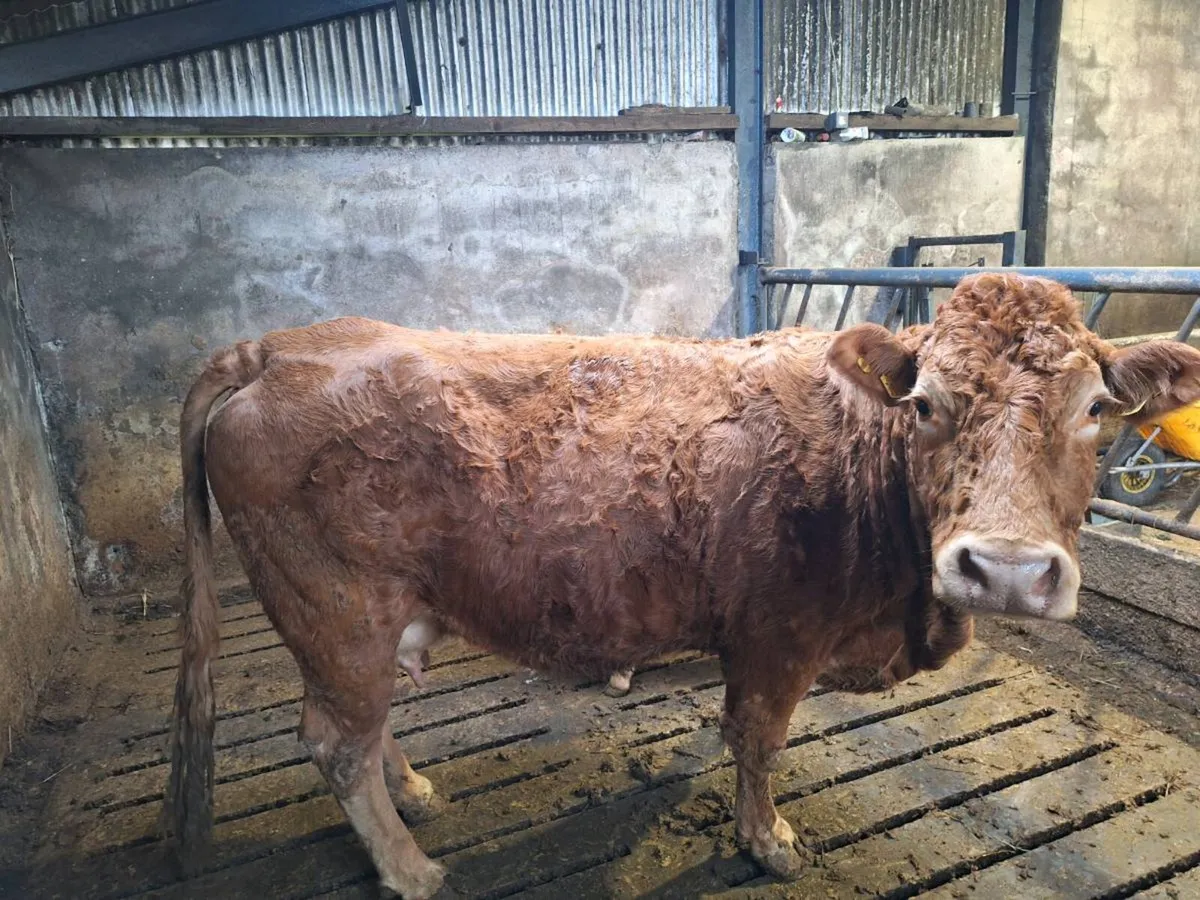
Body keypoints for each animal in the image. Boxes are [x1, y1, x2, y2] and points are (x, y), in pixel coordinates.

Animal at [165, 273, 1200, 898]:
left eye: (1097, 409)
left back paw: (413, 794)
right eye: (926, 405)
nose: (1009, 569)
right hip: (339, 613)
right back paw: (413, 869)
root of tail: (277, 347)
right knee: (336, 742)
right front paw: (767, 840)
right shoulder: (781, 634)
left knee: (360, 728)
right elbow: (758, 739)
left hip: (352, 627)